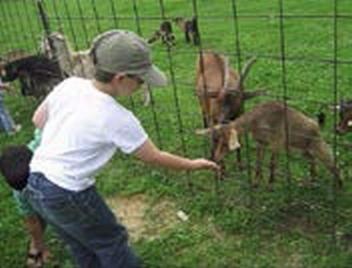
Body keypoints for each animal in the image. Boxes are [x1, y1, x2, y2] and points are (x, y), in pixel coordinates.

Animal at [195, 101, 340, 187]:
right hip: (303, 149)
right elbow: (258, 162)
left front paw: (271, 182)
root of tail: (316, 125)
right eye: (215, 140)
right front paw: (256, 182)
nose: (215, 158)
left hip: (317, 144)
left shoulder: (277, 142)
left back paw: (340, 184)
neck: (259, 120)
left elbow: (272, 163)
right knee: (312, 159)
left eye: (226, 144)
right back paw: (313, 179)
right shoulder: (261, 142)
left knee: (330, 159)